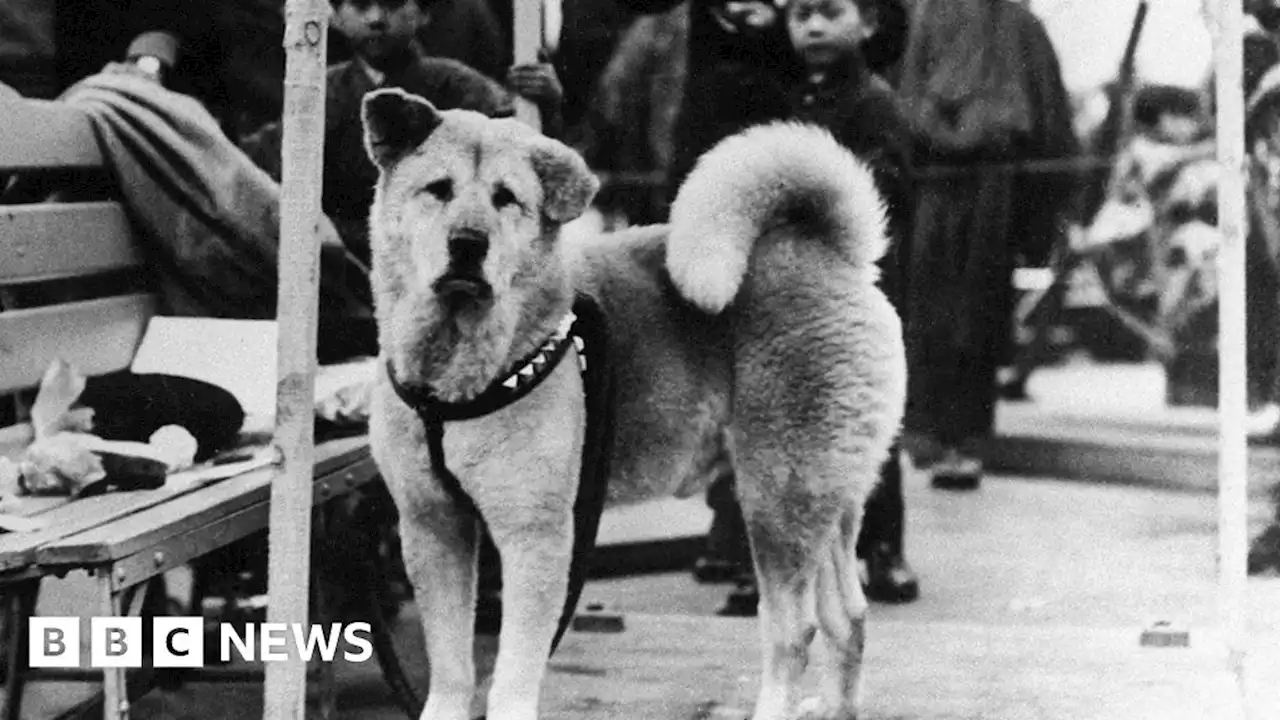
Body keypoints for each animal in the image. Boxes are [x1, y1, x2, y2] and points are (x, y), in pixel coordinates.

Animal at [358, 85, 901, 717]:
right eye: (438, 189)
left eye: (506, 198)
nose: (468, 243)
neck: (455, 371)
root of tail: (831, 253)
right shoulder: (432, 526)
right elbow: (451, 665)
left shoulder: (535, 535)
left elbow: (513, 671)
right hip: (827, 499)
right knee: (848, 616)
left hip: (777, 499)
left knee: (796, 630)